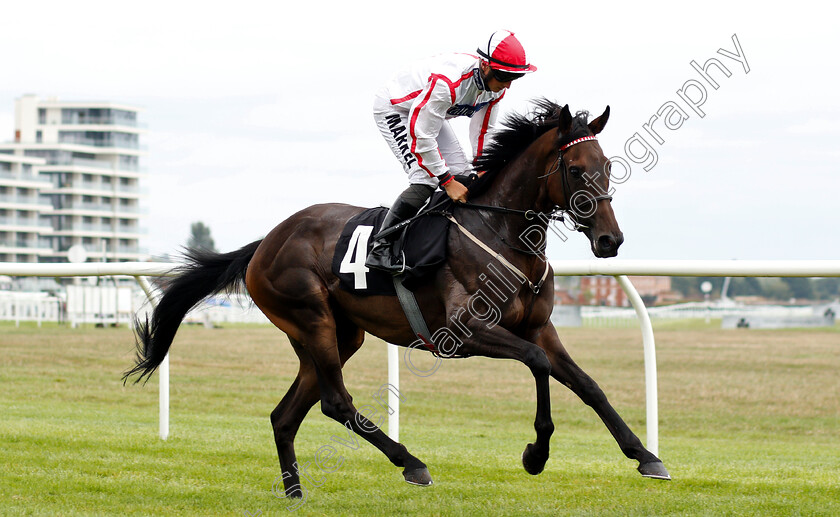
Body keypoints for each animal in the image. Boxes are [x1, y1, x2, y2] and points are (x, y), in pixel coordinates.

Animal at [124, 99, 672, 498]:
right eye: (576, 169)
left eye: (606, 165)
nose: (610, 241)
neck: (499, 230)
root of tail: (265, 243)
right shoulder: (466, 333)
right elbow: (538, 365)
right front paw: (535, 455)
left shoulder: (539, 326)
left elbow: (589, 385)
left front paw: (646, 456)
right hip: (312, 318)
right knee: (335, 402)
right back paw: (411, 463)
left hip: (339, 334)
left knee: (286, 414)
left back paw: (295, 492)